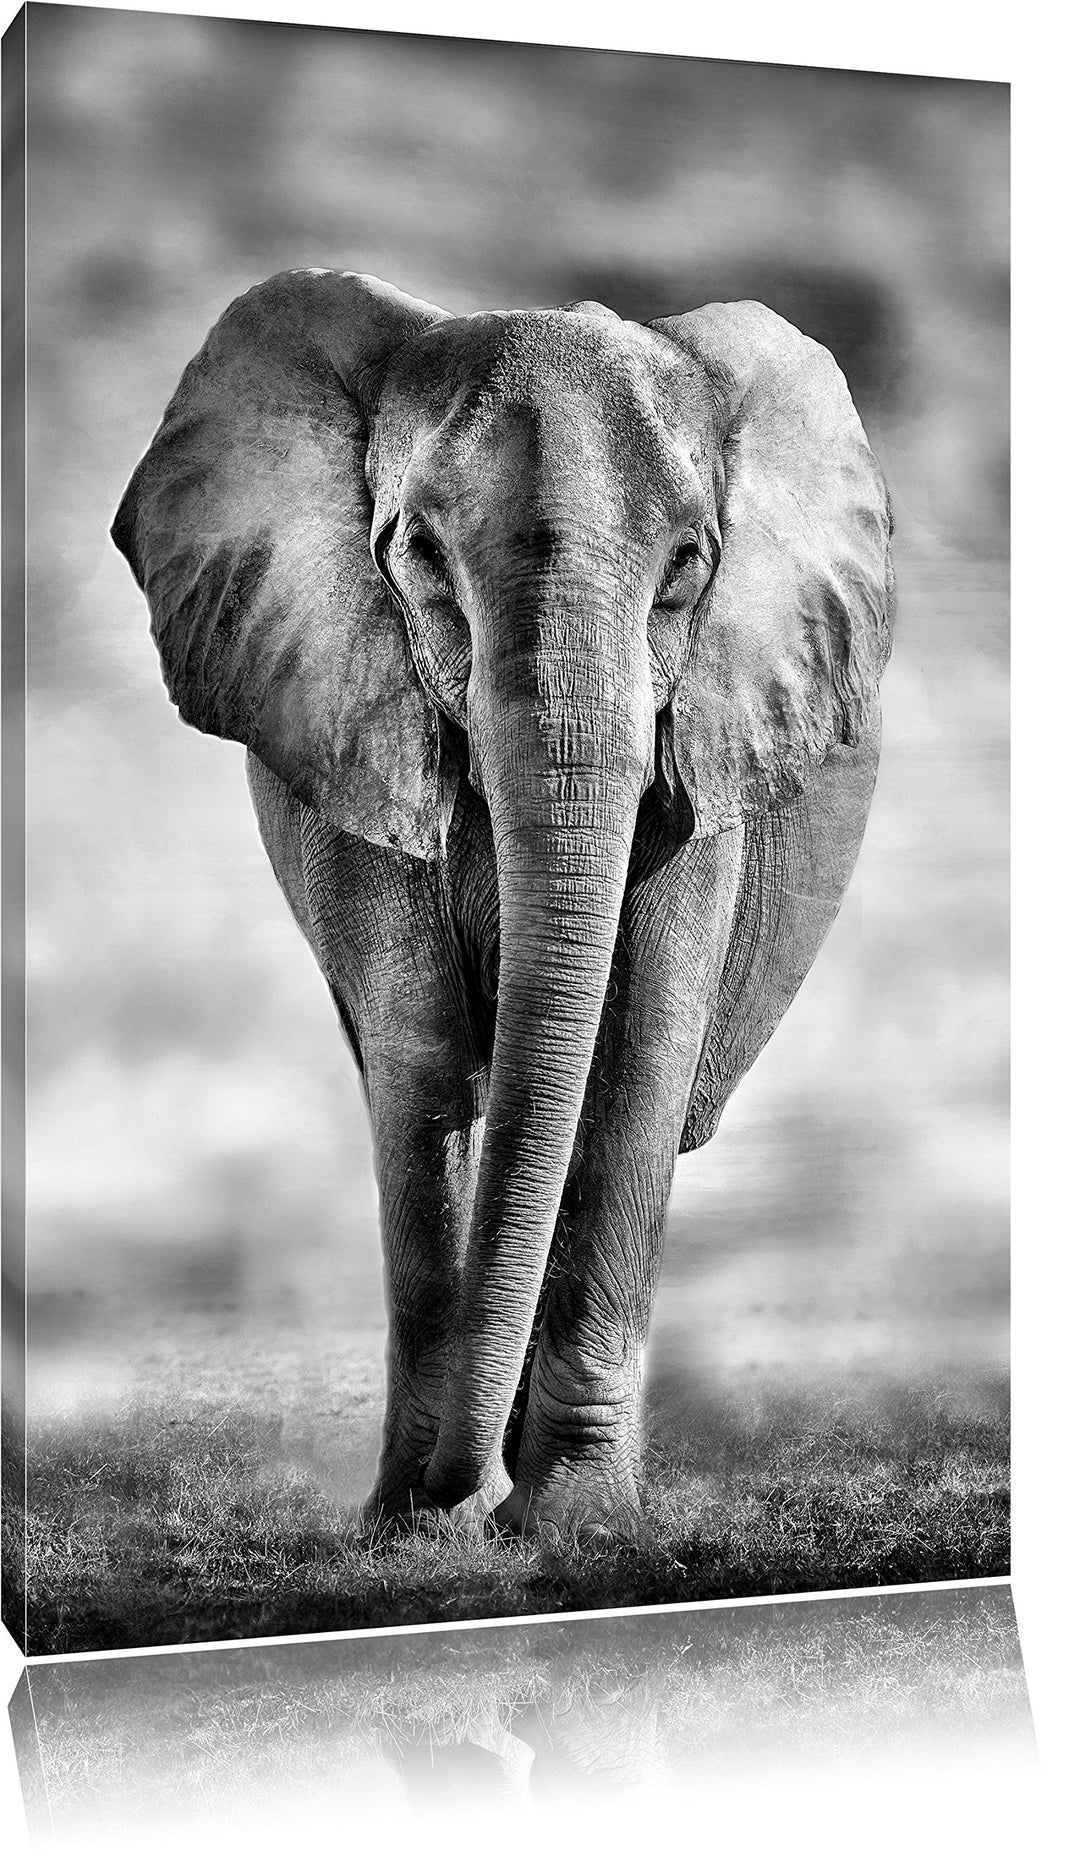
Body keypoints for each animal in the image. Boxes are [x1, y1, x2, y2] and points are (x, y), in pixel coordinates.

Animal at [111, 268, 893, 1544]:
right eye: (422, 556)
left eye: (688, 567)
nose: (452, 1485)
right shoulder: (348, 722)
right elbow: (425, 1057)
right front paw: (419, 1525)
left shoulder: (704, 750)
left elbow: (632, 1060)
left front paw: (576, 1522)